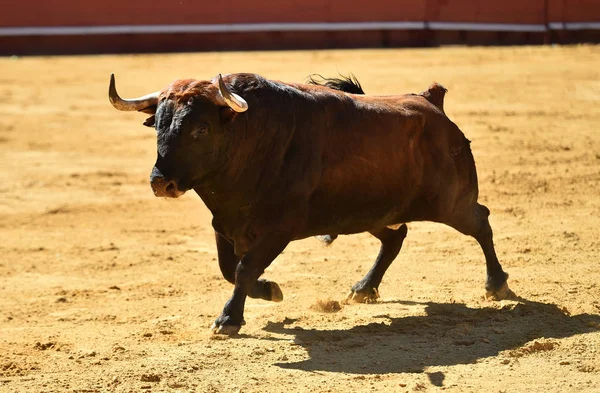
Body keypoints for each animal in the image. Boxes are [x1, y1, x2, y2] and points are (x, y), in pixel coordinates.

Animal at [108, 72, 510, 332]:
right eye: (159, 126)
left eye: (201, 128)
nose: (161, 182)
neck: (250, 139)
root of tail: (431, 102)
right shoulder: (224, 225)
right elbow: (229, 269)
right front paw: (268, 291)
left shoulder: (278, 230)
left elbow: (243, 269)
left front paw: (228, 320)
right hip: (369, 212)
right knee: (395, 237)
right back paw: (364, 289)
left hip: (451, 203)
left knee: (481, 223)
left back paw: (496, 285)